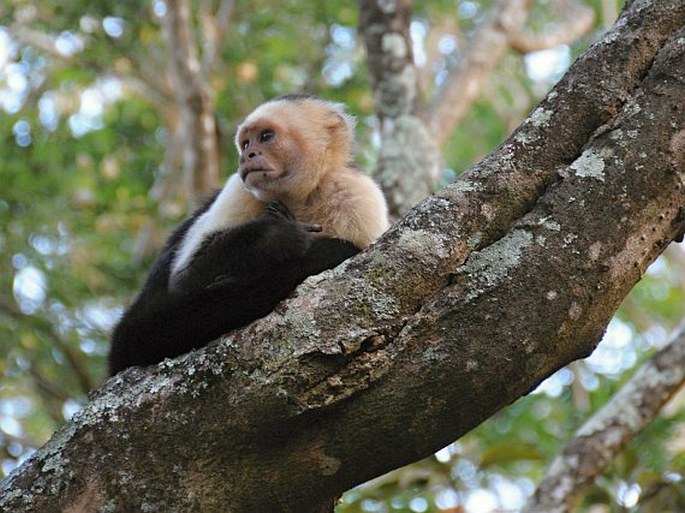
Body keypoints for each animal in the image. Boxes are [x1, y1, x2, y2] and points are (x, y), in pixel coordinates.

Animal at [110, 94, 392, 374]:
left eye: (266, 136)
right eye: (245, 143)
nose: (247, 155)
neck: (300, 197)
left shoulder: (357, 199)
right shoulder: (239, 189)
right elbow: (185, 281)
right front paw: (276, 237)